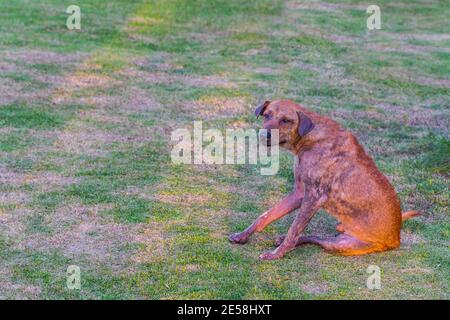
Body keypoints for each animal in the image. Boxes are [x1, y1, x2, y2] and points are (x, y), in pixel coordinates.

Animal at [230, 99, 420, 260]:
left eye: (286, 120)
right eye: (267, 115)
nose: (264, 135)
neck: (309, 136)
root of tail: (396, 238)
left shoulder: (314, 197)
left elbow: (294, 230)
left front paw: (276, 254)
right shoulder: (299, 193)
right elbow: (265, 216)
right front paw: (242, 235)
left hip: (342, 245)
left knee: (309, 238)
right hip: (339, 237)